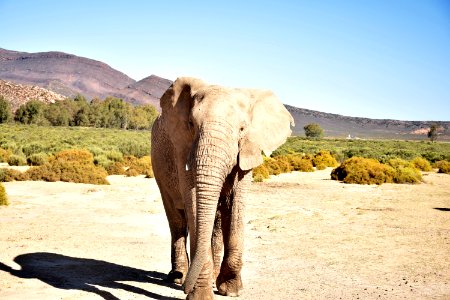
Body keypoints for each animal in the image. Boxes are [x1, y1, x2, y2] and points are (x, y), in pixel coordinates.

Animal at [149, 77, 294, 298]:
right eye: (191, 124)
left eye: (242, 129)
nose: (184, 289)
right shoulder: (182, 147)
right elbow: (193, 203)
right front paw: (200, 295)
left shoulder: (247, 150)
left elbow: (235, 205)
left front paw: (231, 290)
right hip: (159, 166)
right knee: (177, 220)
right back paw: (178, 277)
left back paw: (208, 276)